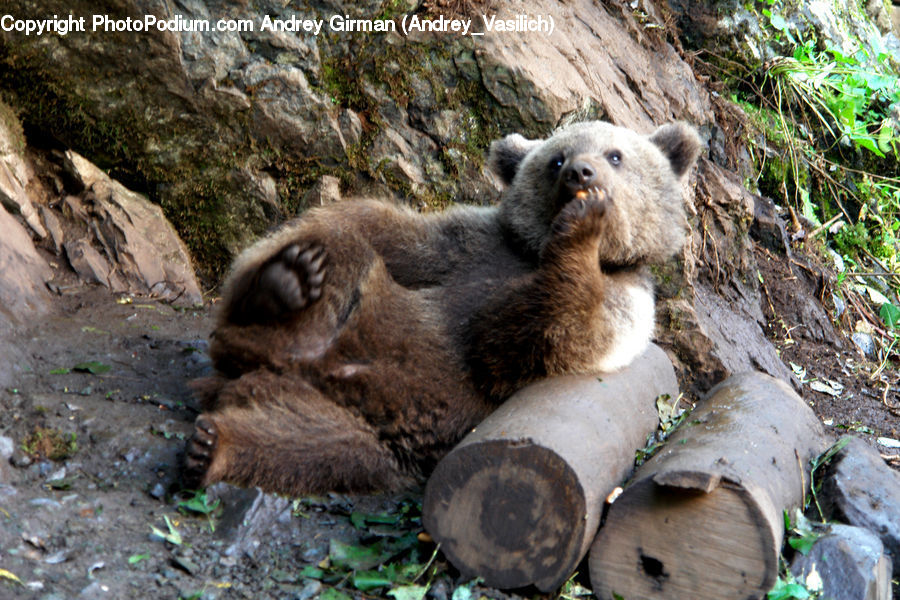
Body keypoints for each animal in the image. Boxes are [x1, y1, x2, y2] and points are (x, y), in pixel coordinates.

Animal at [183, 120, 702, 496]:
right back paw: (285, 283)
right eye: (556, 159)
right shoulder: (468, 244)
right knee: (342, 243)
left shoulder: (624, 301)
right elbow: (397, 234)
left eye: (616, 154)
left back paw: (215, 446)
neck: (532, 252)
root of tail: (262, 366)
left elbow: (552, 332)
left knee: (309, 444)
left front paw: (581, 227)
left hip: (368, 429)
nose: (581, 173)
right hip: (358, 304)